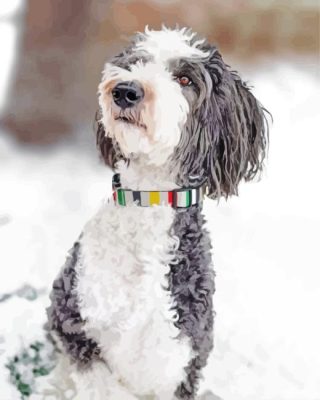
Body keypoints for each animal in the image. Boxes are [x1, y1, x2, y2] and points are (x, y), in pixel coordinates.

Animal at [36, 26, 268, 398]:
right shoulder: (73, 320)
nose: (125, 91)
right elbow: (99, 381)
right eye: (135, 62)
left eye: (185, 79)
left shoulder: (179, 357)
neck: (148, 197)